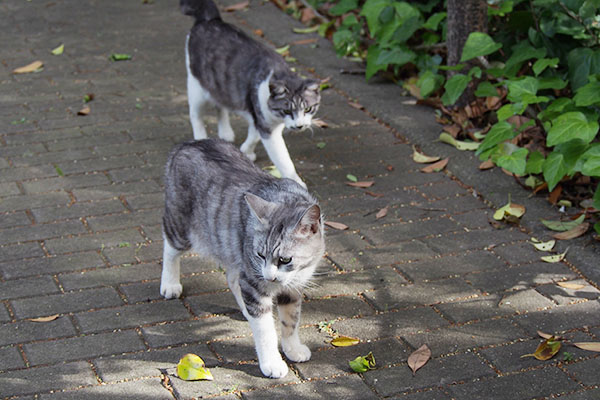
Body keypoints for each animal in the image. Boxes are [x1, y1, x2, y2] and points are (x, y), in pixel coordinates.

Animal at [161, 138, 324, 378]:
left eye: (285, 260)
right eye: (260, 254)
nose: (269, 277)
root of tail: (188, 143)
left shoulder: (292, 286)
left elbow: (291, 319)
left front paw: (292, 348)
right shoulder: (253, 280)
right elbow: (265, 330)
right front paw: (272, 363)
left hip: (230, 246)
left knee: (231, 276)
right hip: (180, 224)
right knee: (170, 246)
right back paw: (170, 283)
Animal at [179, 0, 322, 188]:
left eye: (308, 109)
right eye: (287, 110)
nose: (299, 126)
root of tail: (210, 19)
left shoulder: (258, 115)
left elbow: (254, 135)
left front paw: (246, 150)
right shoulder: (266, 126)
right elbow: (282, 158)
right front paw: (295, 180)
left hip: (220, 86)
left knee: (220, 105)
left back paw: (226, 132)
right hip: (197, 88)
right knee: (196, 115)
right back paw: (201, 136)